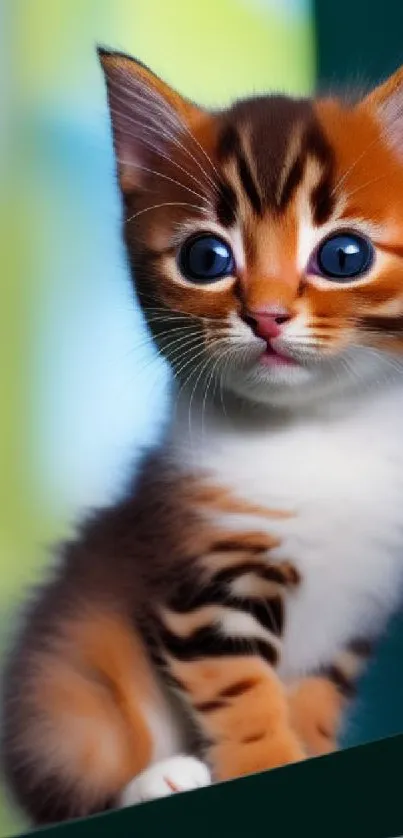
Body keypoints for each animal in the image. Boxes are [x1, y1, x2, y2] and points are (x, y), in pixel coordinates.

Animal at [2, 50, 403, 828]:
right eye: (205, 258)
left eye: (343, 256)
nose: (267, 316)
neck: (318, 435)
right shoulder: (207, 581)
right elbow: (242, 694)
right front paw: (265, 762)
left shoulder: (355, 612)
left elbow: (311, 699)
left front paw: (307, 746)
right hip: (64, 690)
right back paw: (156, 778)